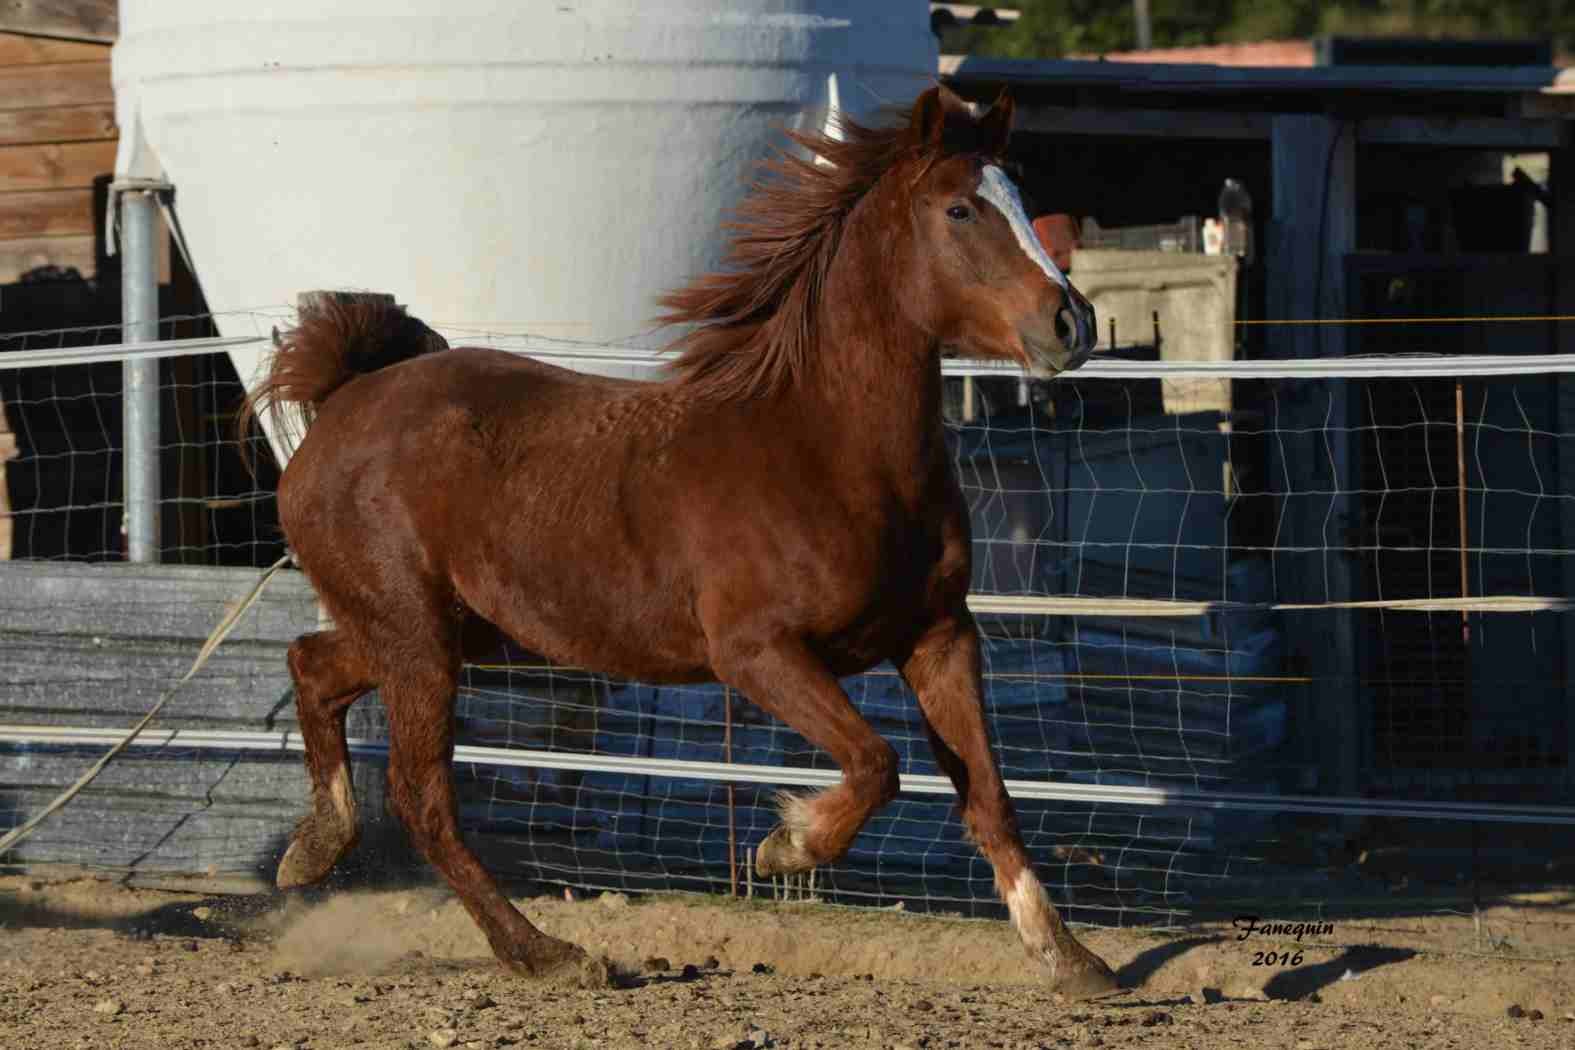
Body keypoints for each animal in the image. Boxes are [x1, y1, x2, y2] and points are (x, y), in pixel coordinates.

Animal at [245, 84, 1115, 994]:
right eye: (959, 208)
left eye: (1019, 194)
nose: (1071, 323)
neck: (826, 449)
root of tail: (346, 399)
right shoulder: (756, 652)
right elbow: (876, 760)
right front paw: (787, 844)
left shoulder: (940, 637)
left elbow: (988, 795)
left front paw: (1069, 958)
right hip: (416, 641)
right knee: (422, 796)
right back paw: (544, 952)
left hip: (450, 634)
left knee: (312, 665)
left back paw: (312, 851)